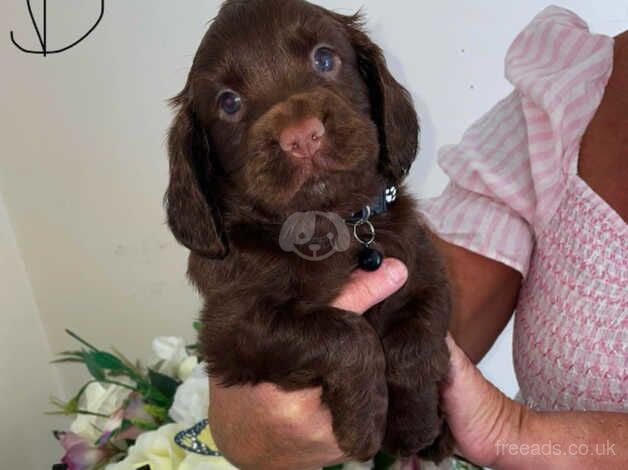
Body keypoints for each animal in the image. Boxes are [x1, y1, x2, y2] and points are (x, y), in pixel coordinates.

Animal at [164, 0, 454, 462]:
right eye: (228, 102)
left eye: (324, 59)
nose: (301, 137)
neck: (329, 225)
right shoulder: (231, 327)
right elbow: (346, 334)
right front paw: (363, 425)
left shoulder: (424, 268)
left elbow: (415, 340)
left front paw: (416, 426)